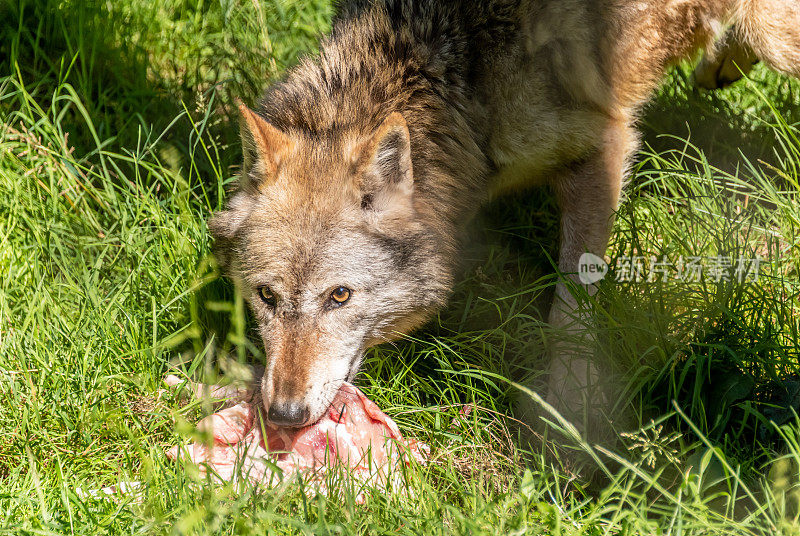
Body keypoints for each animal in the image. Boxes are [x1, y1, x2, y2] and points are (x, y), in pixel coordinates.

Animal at [209, 0, 800, 436]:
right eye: (266, 296)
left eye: (339, 296)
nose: (283, 414)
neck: (457, 78)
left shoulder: (603, 149)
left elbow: (570, 311)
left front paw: (566, 417)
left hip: (776, 36)